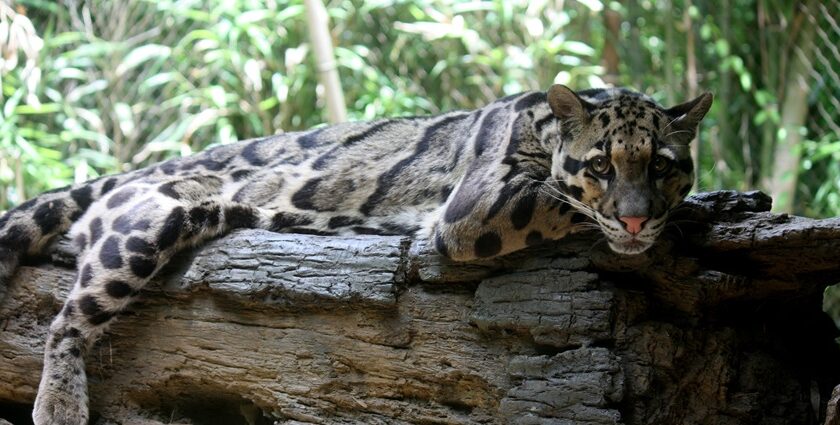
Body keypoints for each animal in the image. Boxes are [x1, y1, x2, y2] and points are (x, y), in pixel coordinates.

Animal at [0, 84, 712, 422]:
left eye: (663, 165)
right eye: (600, 165)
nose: (636, 215)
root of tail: (142, 167)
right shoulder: (476, 206)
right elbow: (564, 204)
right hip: (151, 220)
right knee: (66, 323)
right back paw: (59, 405)